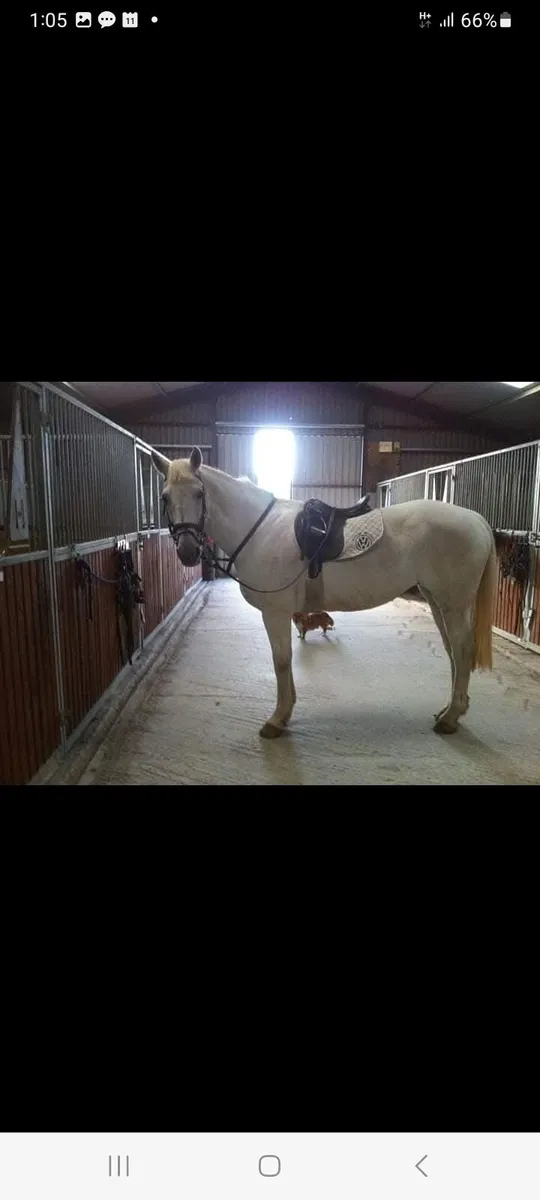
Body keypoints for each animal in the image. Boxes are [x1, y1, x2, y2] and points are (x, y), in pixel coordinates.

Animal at [152, 446, 497, 740]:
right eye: (165, 497)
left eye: (199, 493)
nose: (187, 552)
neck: (260, 530)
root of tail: (476, 520)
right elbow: (284, 660)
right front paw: (286, 713)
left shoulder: (275, 613)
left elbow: (281, 660)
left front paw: (277, 719)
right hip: (438, 601)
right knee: (453, 652)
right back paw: (451, 710)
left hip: (454, 603)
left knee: (462, 650)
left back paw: (450, 718)